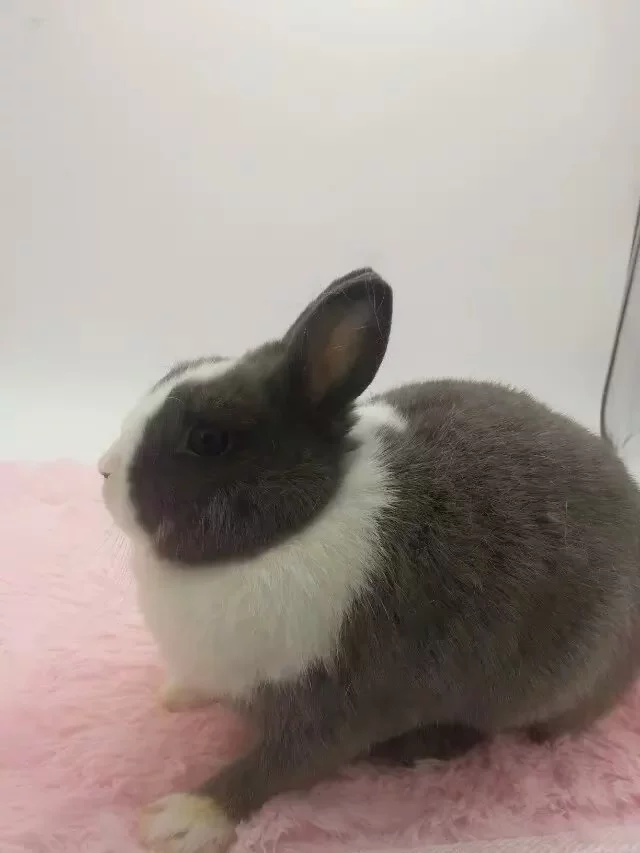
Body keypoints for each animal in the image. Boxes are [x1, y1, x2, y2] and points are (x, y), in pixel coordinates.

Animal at [100, 268, 640, 853]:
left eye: (208, 439)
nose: (103, 470)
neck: (290, 532)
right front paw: (176, 695)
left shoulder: (339, 707)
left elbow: (275, 768)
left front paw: (183, 819)